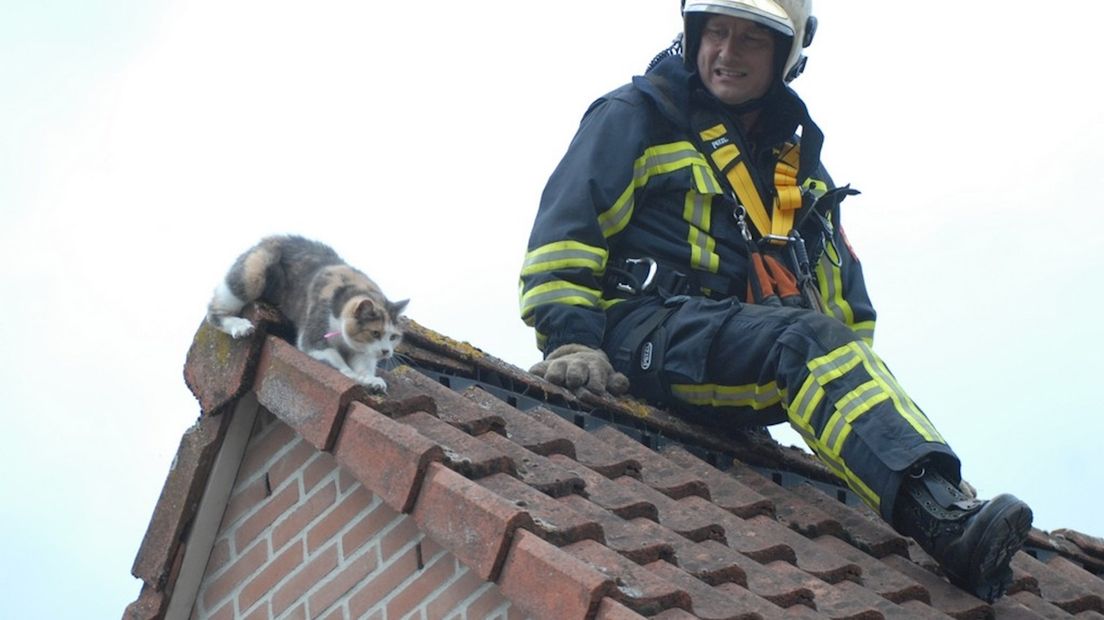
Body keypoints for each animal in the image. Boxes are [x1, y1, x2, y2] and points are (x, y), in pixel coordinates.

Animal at [205, 233, 408, 388]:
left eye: (393, 337)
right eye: (375, 333)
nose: (386, 352)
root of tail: (270, 238)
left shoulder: (363, 352)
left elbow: (364, 364)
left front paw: (371, 380)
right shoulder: (314, 335)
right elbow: (334, 358)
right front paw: (352, 375)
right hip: (254, 272)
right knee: (214, 311)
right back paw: (240, 326)